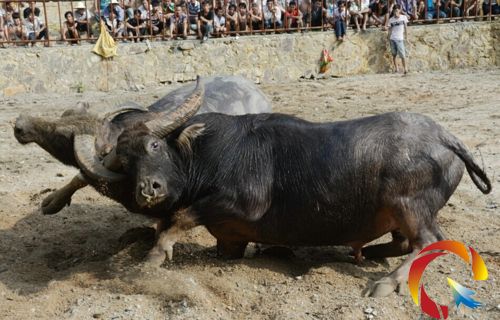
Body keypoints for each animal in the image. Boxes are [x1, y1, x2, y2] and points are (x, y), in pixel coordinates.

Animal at [78, 77, 492, 298]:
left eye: (154, 145)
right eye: (124, 163)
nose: (148, 189)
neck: (206, 153)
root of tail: (447, 137)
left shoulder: (245, 202)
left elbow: (181, 216)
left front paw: (153, 257)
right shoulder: (230, 240)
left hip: (408, 203)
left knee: (428, 241)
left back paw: (384, 283)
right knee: (405, 243)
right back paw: (362, 254)